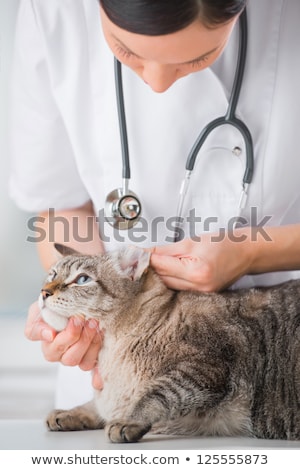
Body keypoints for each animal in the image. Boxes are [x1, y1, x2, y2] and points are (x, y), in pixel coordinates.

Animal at [41, 244, 300, 442]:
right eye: (52, 275)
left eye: (82, 279)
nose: (44, 292)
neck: (111, 353)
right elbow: (95, 405)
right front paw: (68, 413)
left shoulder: (203, 368)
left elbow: (155, 395)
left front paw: (127, 420)